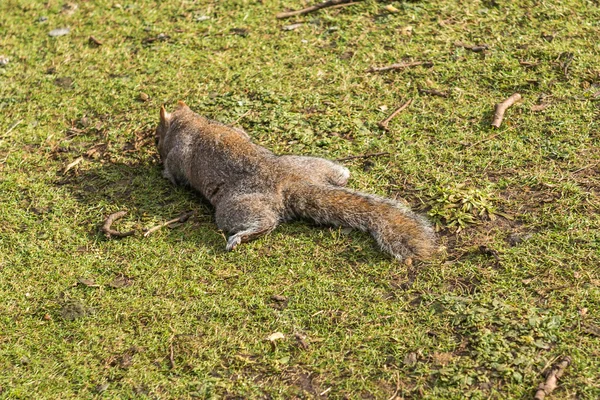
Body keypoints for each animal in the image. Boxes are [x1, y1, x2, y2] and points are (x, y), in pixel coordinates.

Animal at [156, 101, 436, 260]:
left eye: (157, 133)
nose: (153, 140)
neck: (193, 123)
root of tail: (292, 181)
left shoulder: (180, 153)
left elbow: (176, 173)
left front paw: (165, 174)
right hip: (310, 164)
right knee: (336, 174)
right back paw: (343, 174)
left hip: (235, 205)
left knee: (265, 222)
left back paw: (241, 237)